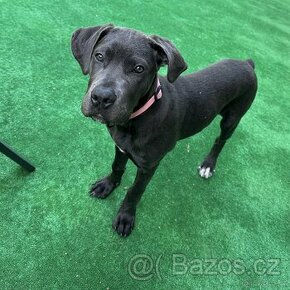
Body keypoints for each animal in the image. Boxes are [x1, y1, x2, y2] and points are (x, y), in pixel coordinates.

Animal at [71, 23, 258, 237]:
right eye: (99, 56)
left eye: (139, 69)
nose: (102, 98)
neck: (134, 119)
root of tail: (247, 64)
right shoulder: (120, 147)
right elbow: (117, 166)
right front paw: (107, 185)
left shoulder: (149, 165)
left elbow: (135, 191)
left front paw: (126, 217)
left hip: (233, 118)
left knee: (221, 140)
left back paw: (208, 165)